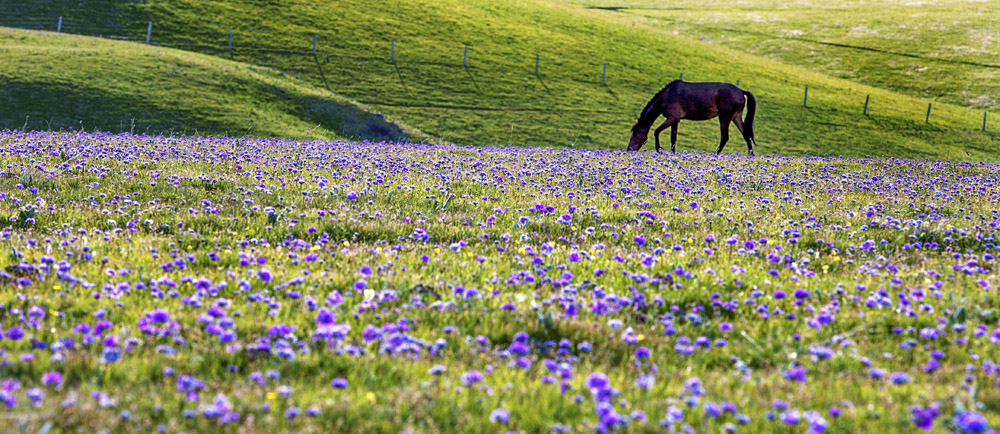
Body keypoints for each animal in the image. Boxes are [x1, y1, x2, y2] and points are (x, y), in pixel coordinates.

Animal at [624, 80, 756, 155]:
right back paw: (751, 155)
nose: (629, 150)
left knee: (725, 137)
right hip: (736, 117)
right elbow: (673, 138)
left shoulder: (672, 118)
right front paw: (672, 153)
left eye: (635, 134)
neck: (666, 96)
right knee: (746, 135)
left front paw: (659, 149)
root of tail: (741, 91)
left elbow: (656, 131)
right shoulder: (675, 120)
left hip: (724, 118)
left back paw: (716, 154)